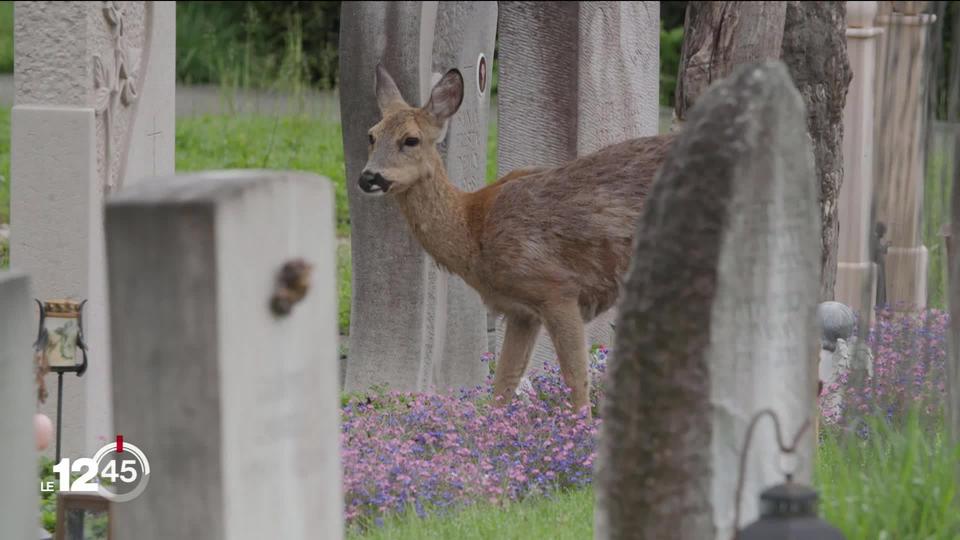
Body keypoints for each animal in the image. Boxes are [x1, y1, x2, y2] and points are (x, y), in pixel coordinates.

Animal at [360, 67, 676, 414]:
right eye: (371, 135)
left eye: (411, 140)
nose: (368, 177)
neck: (474, 230)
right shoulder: (521, 311)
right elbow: (503, 384)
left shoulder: (557, 289)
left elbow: (576, 380)